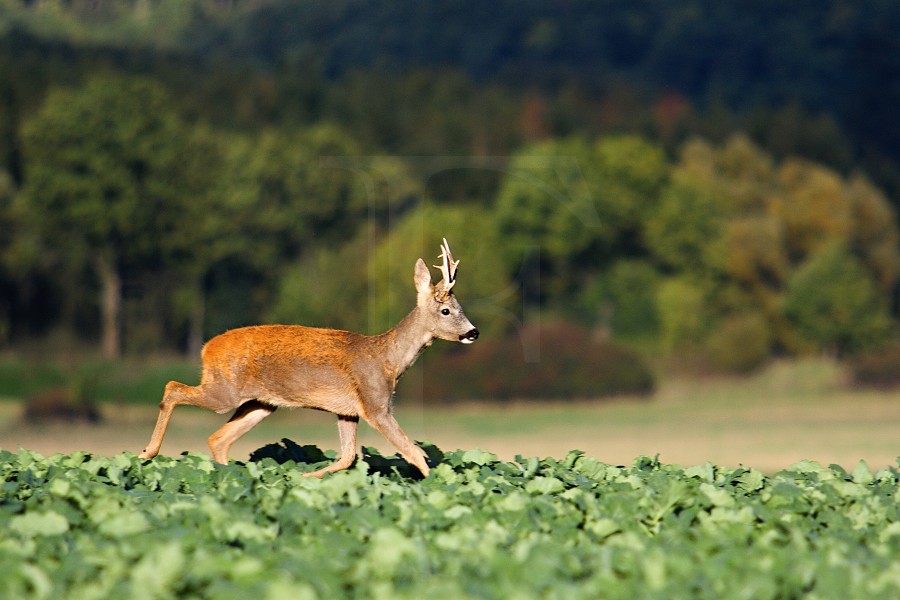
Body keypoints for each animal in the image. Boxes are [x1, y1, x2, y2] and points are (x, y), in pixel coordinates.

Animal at [138, 239, 478, 478]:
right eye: (446, 310)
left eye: (459, 307)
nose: (473, 332)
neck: (387, 359)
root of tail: (206, 348)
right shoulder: (375, 405)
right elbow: (414, 453)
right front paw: (437, 486)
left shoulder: (348, 412)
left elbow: (347, 457)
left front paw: (302, 479)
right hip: (224, 391)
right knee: (172, 388)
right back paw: (147, 453)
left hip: (261, 403)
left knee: (217, 438)